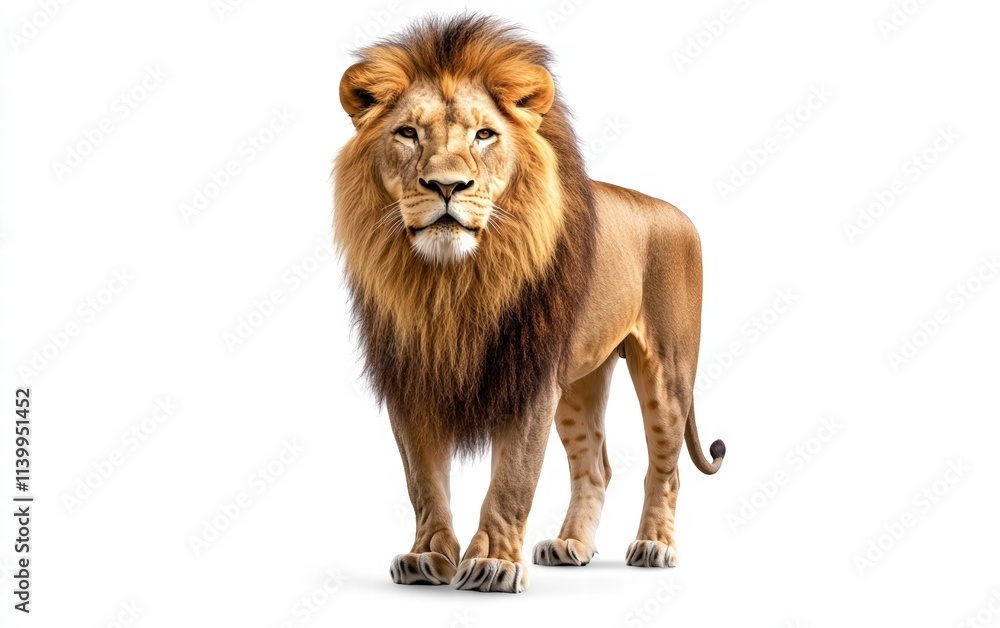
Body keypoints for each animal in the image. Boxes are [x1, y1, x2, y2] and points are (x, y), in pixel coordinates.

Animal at [333, 15, 725, 593]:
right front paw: (428, 556)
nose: (446, 186)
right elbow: (422, 481)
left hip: (668, 370)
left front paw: (494, 562)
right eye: (408, 133)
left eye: (484, 134)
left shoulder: (530, 375)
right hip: (582, 380)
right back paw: (571, 545)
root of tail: (676, 213)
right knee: (596, 465)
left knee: (667, 466)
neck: (450, 283)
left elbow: (513, 478)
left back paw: (654, 545)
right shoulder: (409, 375)